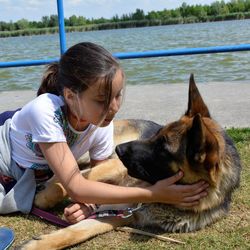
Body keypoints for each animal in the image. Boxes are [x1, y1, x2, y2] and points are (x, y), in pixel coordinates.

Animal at [22, 75, 242, 250]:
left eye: (162, 149)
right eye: (156, 135)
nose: (119, 151)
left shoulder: (122, 213)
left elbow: (79, 231)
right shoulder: (115, 167)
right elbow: (72, 181)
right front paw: (45, 197)